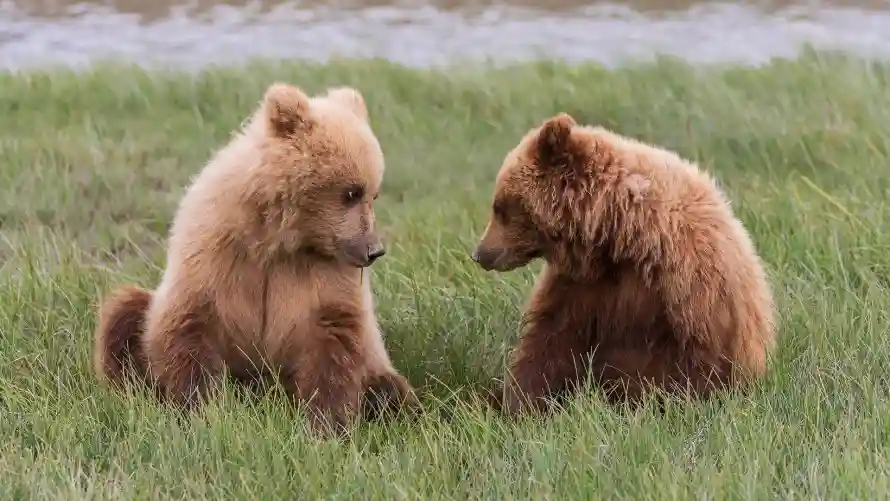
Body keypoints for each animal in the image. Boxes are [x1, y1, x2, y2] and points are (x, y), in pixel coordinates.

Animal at [93, 81, 418, 435]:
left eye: (373, 193)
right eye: (352, 192)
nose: (374, 250)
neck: (278, 239)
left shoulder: (323, 271)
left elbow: (335, 333)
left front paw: (323, 423)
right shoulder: (216, 249)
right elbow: (188, 322)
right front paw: (200, 410)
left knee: (389, 389)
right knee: (125, 311)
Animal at [471, 112, 776, 414]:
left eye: (500, 207)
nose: (480, 253)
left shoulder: (687, 289)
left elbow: (680, 365)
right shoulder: (580, 286)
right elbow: (548, 343)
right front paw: (519, 404)